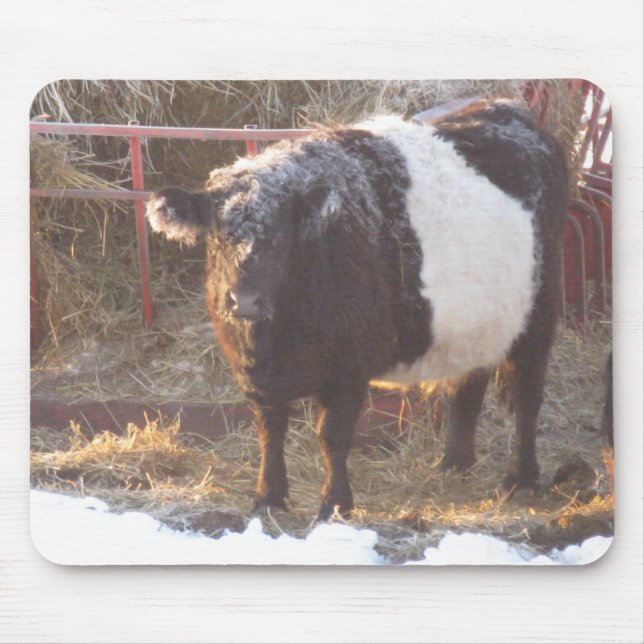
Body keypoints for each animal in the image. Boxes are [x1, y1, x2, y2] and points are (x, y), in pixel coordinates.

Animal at [146, 100, 568, 520]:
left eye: (279, 236)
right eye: (217, 236)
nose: (245, 300)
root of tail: (505, 107)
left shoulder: (347, 369)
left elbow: (332, 435)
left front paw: (335, 503)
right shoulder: (256, 372)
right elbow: (270, 430)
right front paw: (269, 497)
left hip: (538, 315)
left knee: (528, 394)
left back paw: (521, 480)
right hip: (478, 322)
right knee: (469, 384)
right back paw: (454, 463)